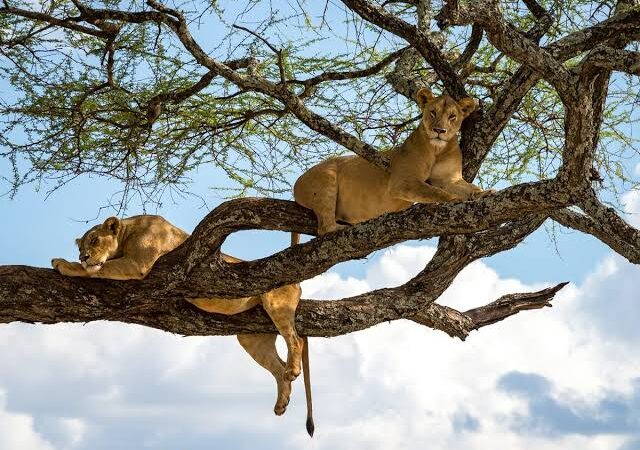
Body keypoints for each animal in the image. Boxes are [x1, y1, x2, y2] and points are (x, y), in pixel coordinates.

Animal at [51, 215, 314, 436]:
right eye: (80, 247)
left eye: (94, 240)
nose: (83, 256)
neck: (127, 232)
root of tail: (298, 283)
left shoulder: (137, 264)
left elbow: (97, 270)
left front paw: (64, 264)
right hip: (252, 338)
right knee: (277, 367)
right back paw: (281, 403)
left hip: (276, 304)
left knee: (295, 340)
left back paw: (293, 370)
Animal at [294, 88, 494, 235]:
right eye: (433, 112)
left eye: (452, 116)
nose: (439, 131)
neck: (438, 149)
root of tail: (297, 182)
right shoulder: (402, 181)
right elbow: (434, 191)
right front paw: (453, 200)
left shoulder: (449, 179)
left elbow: (469, 187)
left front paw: (485, 193)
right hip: (326, 180)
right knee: (324, 228)